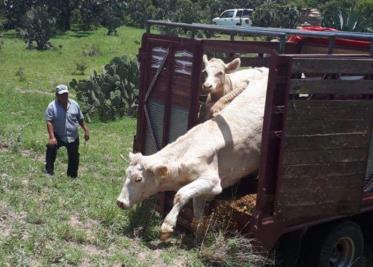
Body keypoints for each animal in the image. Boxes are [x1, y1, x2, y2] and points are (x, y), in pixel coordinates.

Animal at [116, 67, 268, 241]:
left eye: (138, 179)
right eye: (126, 174)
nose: (120, 202)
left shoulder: (212, 181)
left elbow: (181, 194)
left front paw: (167, 227)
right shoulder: (202, 190)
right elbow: (197, 210)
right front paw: (200, 234)